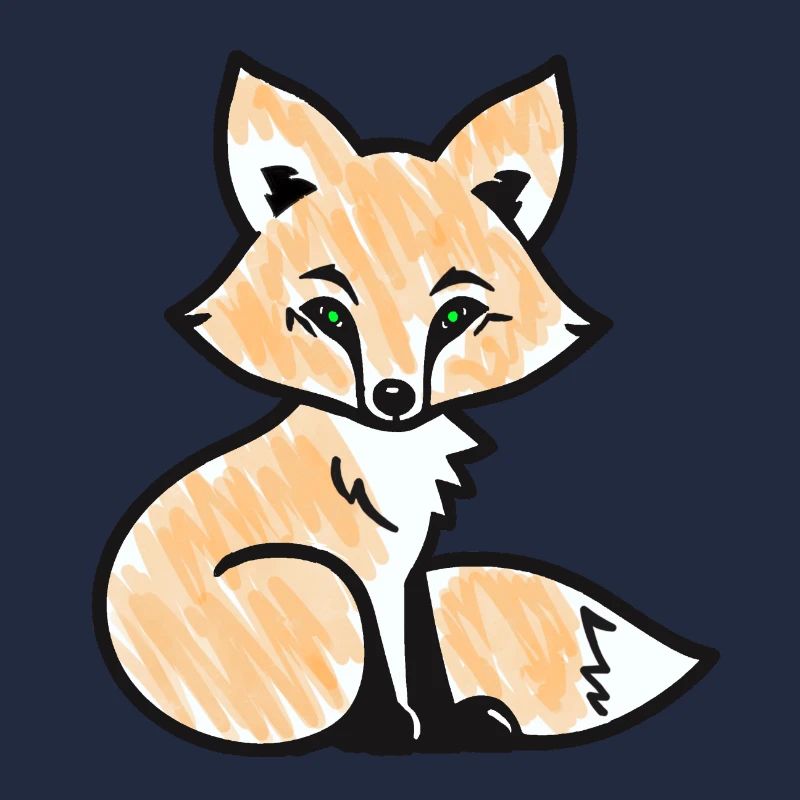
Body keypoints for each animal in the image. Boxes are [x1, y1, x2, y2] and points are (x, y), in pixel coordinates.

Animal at [94, 52, 717, 754]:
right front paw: (399, 725)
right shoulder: (366, 572)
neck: (386, 458)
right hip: (320, 585)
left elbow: (420, 648)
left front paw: (441, 720)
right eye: (329, 315)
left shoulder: (403, 567)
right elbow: (393, 656)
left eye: (457, 315)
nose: (393, 398)